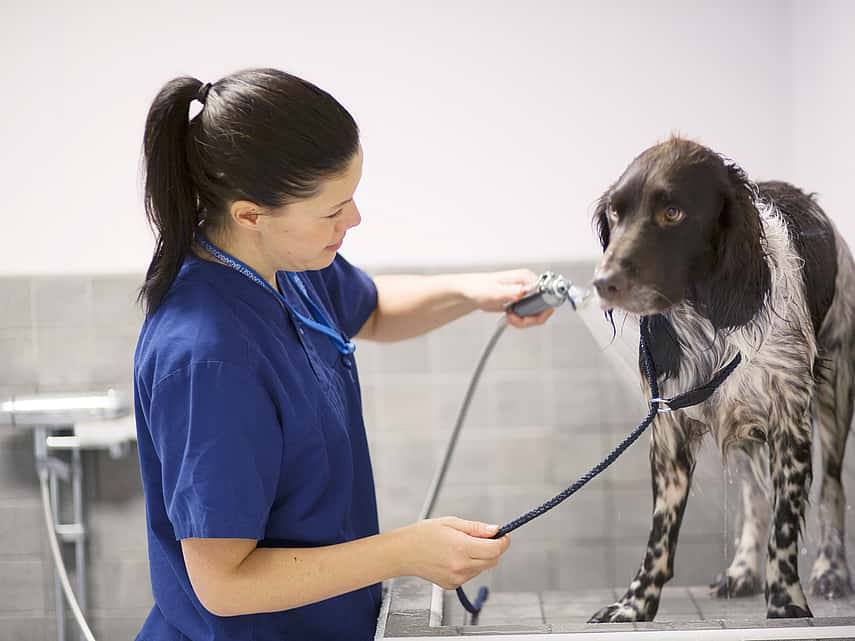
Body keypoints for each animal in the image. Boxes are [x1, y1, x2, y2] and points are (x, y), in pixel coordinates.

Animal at [588, 136, 855, 620]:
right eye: (615, 214)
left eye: (673, 212)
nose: (603, 282)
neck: (708, 314)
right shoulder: (668, 426)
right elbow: (661, 533)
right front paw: (634, 606)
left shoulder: (790, 422)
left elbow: (786, 524)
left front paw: (786, 602)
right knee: (755, 496)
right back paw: (743, 570)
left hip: (834, 394)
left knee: (831, 486)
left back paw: (831, 569)